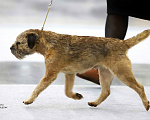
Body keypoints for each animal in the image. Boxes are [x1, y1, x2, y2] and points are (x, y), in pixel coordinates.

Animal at [10, 28, 150, 110]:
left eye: (19, 42)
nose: (10, 48)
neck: (49, 44)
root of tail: (122, 43)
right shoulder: (70, 74)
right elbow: (67, 91)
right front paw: (76, 96)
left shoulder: (50, 75)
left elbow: (37, 88)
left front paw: (28, 100)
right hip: (104, 73)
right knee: (106, 91)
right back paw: (94, 103)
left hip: (122, 72)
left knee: (140, 87)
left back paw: (146, 104)